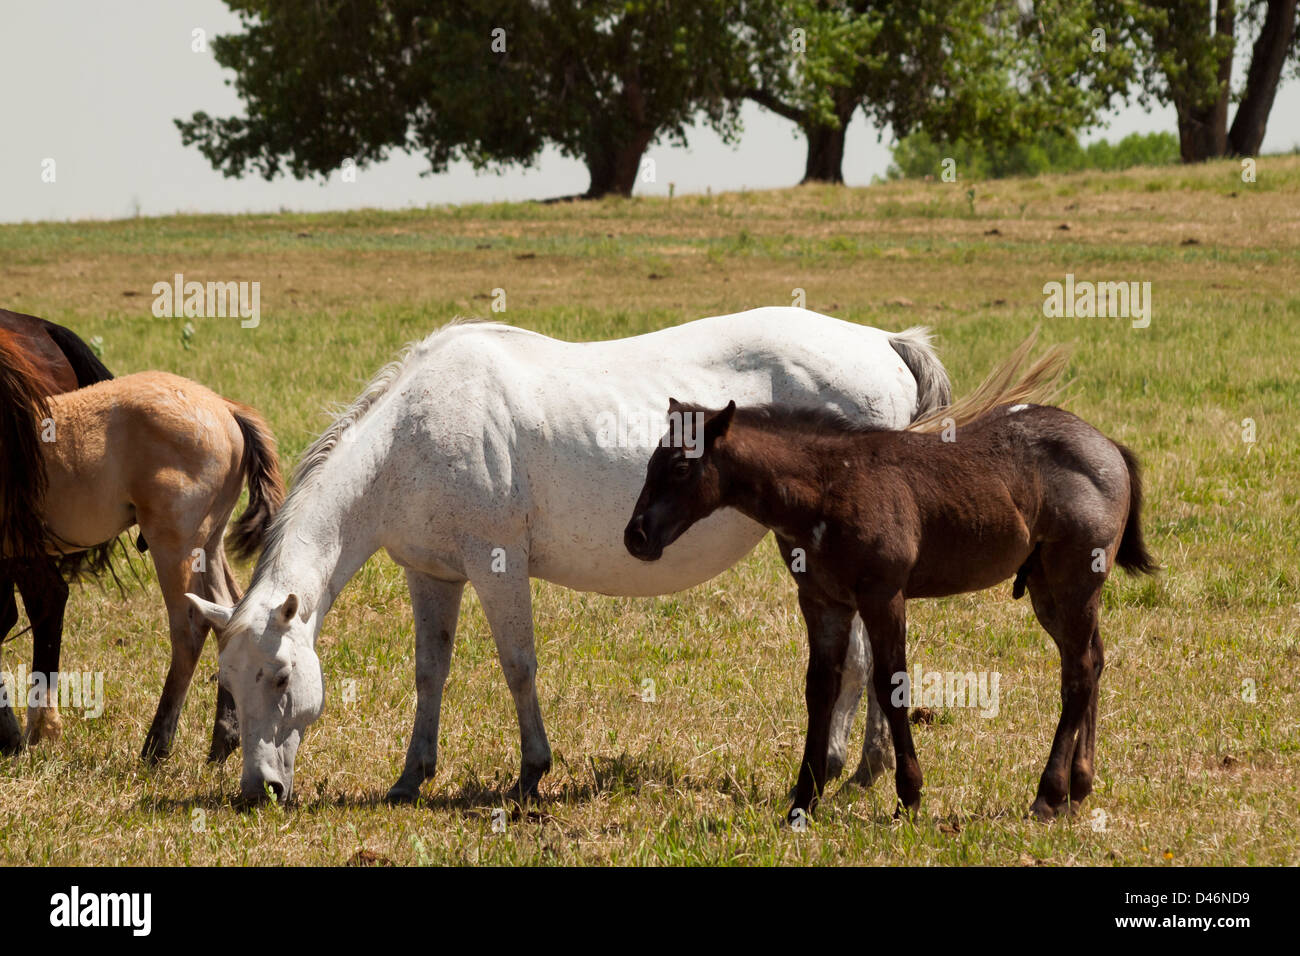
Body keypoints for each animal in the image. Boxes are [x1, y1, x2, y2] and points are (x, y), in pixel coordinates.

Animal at [185, 308, 953, 804]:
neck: (412, 435)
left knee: (863, 658)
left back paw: (852, 767)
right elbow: (430, 674)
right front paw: (411, 777)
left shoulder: (496, 566)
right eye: (228, 684)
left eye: (282, 677)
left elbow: (518, 668)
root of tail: (883, 343)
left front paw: (532, 771)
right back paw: (860, 769)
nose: (258, 791)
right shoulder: (431, 575)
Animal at [623, 337, 1158, 823]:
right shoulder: (822, 600)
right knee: (1089, 660)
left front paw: (909, 797)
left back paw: (1048, 796)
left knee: (1079, 672)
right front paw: (803, 802)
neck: (828, 485)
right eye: (649, 462)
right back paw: (1078, 790)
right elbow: (820, 687)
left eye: (681, 466)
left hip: (1076, 578)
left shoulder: (884, 595)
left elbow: (891, 682)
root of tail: (1108, 445)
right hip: (1048, 587)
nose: (636, 536)